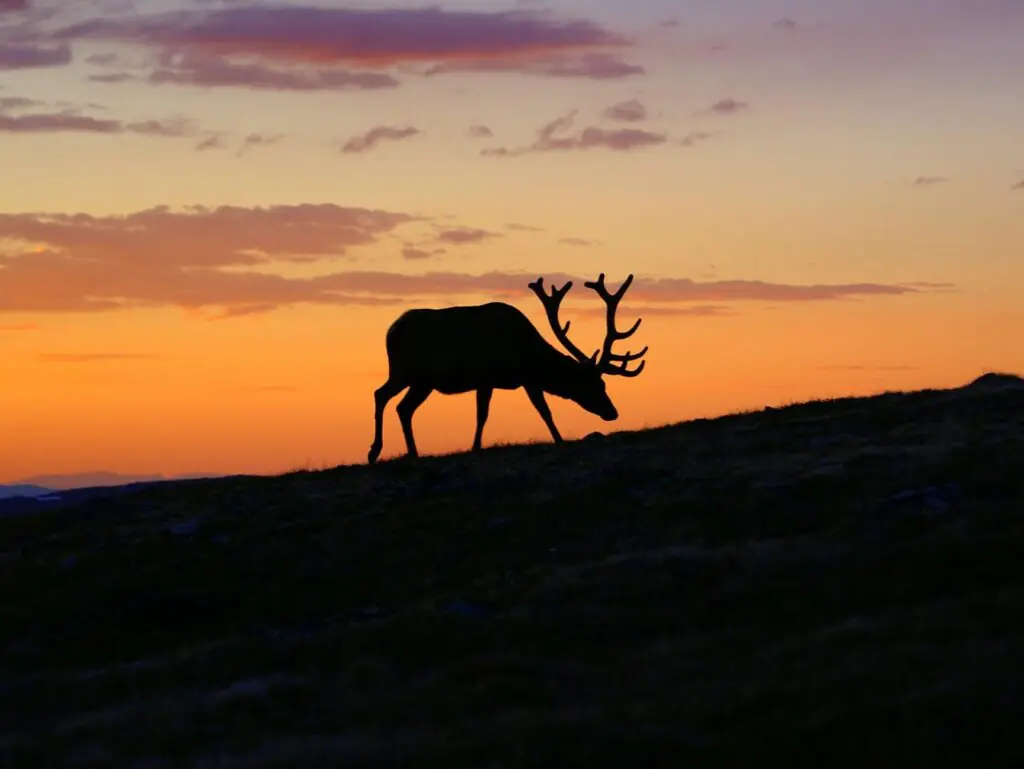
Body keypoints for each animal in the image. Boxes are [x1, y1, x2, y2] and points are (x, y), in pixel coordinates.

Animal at [367, 273, 648, 464]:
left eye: (604, 384)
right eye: (593, 384)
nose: (612, 412)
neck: (527, 355)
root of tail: (390, 332)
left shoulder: (516, 380)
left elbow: (531, 411)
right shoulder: (497, 377)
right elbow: (519, 412)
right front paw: (477, 447)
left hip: (422, 381)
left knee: (402, 407)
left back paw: (413, 452)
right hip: (405, 371)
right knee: (382, 395)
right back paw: (374, 451)